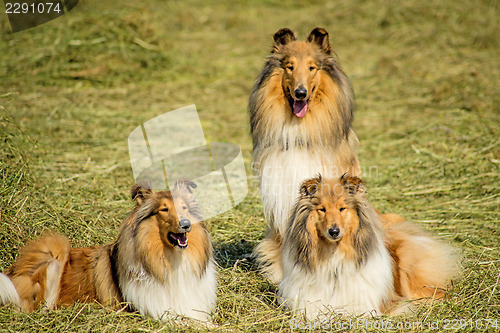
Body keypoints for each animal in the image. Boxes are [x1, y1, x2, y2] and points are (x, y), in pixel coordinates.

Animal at [0, 180, 217, 320]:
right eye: (164, 209)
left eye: (184, 207)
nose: (186, 224)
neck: (172, 259)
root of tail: (11, 272)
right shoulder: (160, 311)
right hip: (54, 248)